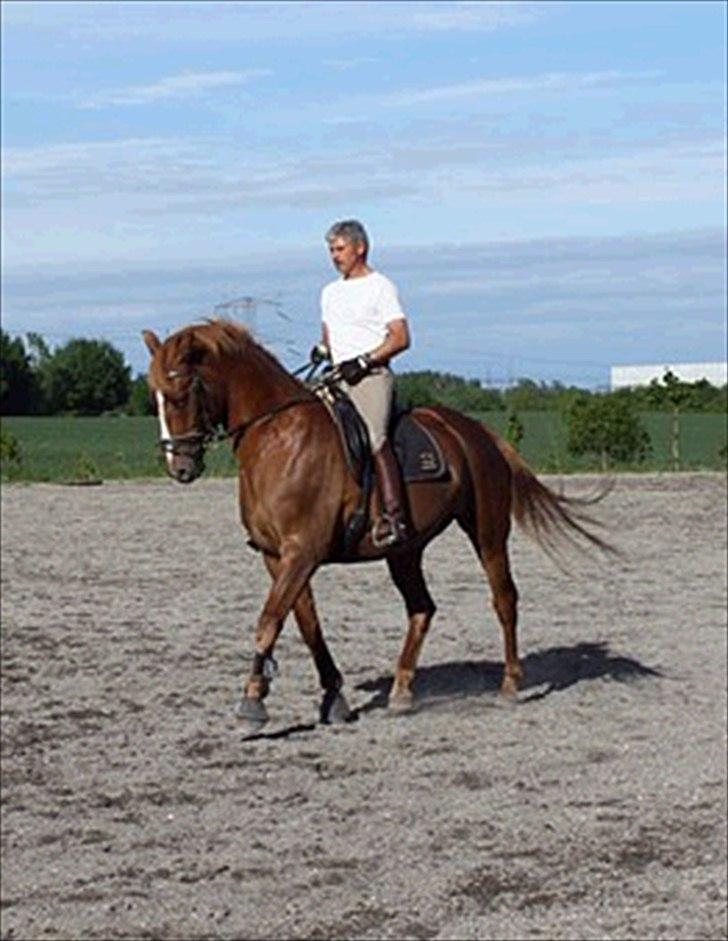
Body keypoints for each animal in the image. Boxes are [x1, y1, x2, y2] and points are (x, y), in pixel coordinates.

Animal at [142, 320, 608, 732]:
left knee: (504, 599)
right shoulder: (278, 558)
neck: (277, 437)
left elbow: (269, 621)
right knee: (422, 608)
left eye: (180, 393)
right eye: (155, 398)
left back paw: (510, 685)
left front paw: (253, 701)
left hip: (488, 532)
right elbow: (307, 625)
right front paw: (335, 698)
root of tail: (479, 433)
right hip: (404, 551)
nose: (179, 468)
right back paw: (402, 691)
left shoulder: (301, 552)